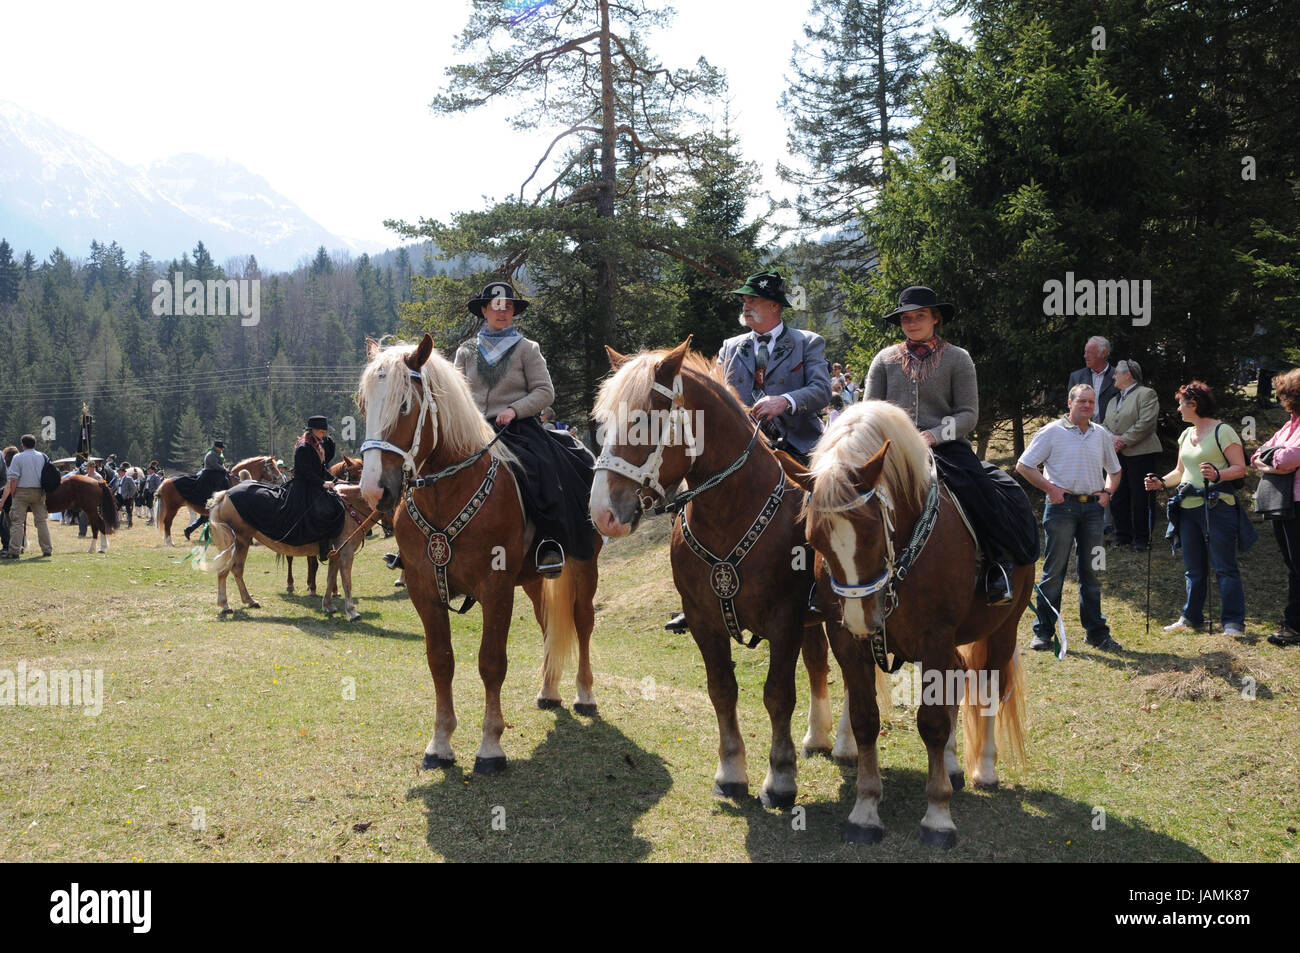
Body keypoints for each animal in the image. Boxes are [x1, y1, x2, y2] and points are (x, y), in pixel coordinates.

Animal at [154, 452, 284, 543]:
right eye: (272, 467)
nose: (281, 479)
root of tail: (166, 481)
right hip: (172, 508)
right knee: (167, 522)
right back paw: (169, 542)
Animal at [205, 478, 374, 621]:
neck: (350, 508)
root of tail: (224, 495)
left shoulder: (336, 554)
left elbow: (330, 578)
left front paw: (328, 606)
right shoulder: (346, 552)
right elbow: (346, 581)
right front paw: (352, 611)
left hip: (242, 542)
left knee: (237, 569)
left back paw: (249, 601)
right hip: (237, 542)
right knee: (225, 571)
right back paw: (225, 605)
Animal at [356, 332, 598, 774]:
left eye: (404, 405)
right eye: (365, 405)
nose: (373, 490)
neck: (448, 492)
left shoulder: (495, 587)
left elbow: (491, 662)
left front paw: (490, 746)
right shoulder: (424, 590)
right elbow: (440, 660)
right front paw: (440, 743)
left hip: (585, 564)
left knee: (583, 621)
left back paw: (584, 694)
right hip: (534, 578)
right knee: (547, 623)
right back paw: (549, 689)